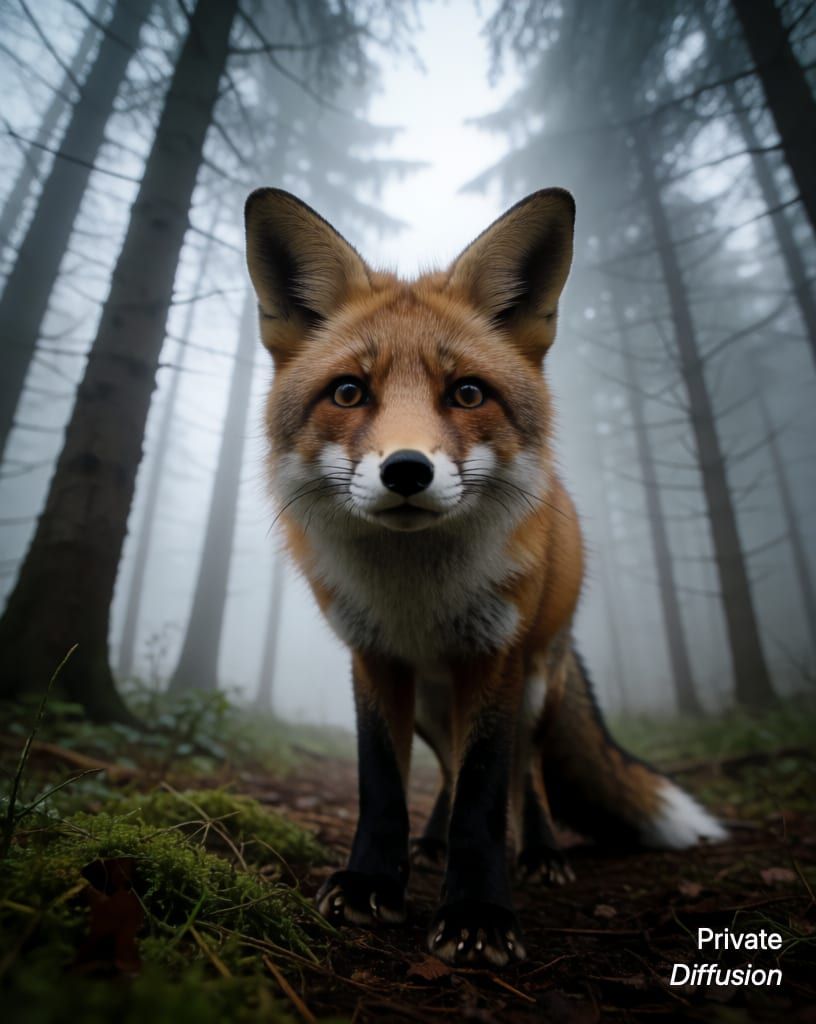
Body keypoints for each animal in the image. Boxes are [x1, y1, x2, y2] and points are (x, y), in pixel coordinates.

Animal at [243, 187, 726, 967]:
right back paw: (429, 843)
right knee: (444, 766)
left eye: (467, 394)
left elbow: (485, 795)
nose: (406, 470)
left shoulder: (493, 655)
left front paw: (477, 913)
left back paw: (540, 854)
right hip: (435, 704)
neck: (416, 596)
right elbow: (383, 782)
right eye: (348, 393)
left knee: (526, 776)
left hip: (534, 684)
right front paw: (372, 882)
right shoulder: (374, 657)